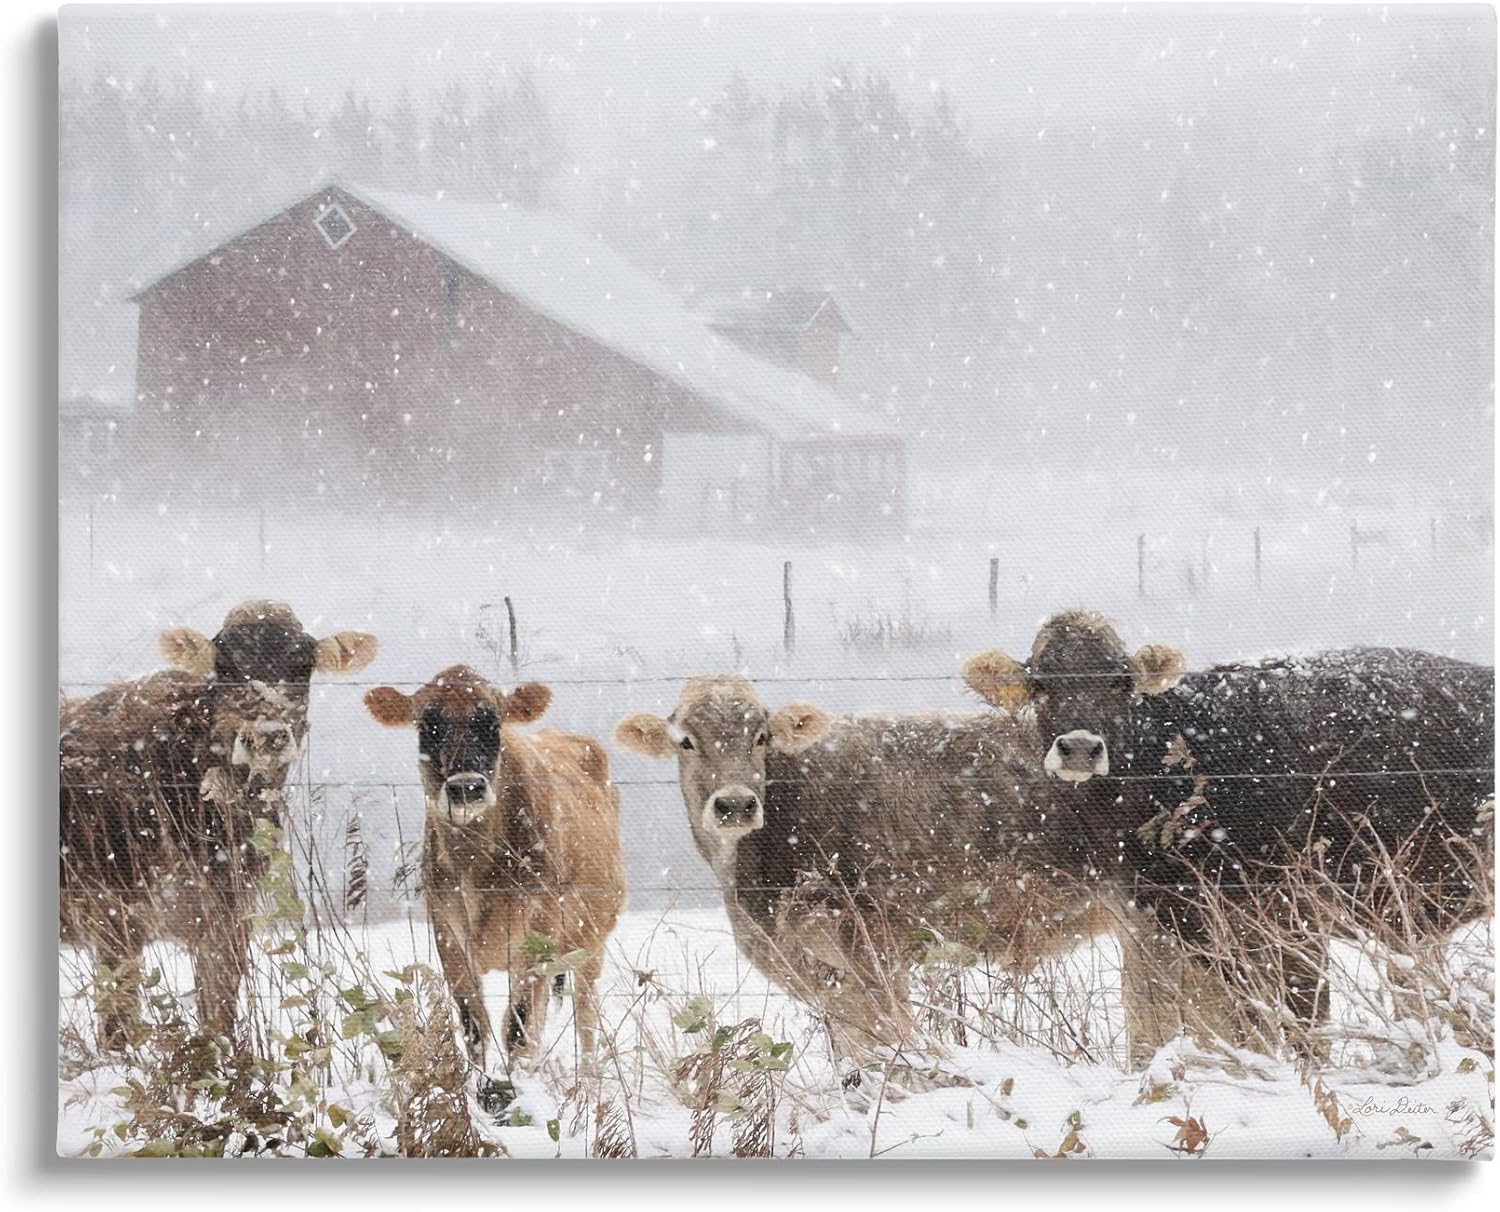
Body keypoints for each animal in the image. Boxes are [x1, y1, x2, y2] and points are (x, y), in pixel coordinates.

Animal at [59, 601, 380, 1047]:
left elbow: (219, 1018)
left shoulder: (229, 917)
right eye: (225, 665)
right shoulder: (112, 913)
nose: (266, 734)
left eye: (303, 664)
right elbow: (117, 1030)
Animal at [364, 666, 626, 1104]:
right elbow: (474, 1022)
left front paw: (515, 1090)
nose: (466, 787)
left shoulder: (537, 933)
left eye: (492, 721)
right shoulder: (447, 933)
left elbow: (518, 1027)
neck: (475, 866)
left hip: (591, 942)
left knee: (585, 1014)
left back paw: (589, 1081)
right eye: (428, 724)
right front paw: (478, 1087)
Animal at [614, 676, 1113, 1073]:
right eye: (686, 741)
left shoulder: (875, 945)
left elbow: (888, 1039)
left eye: (761, 737)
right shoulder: (813, 968)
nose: (735, 804)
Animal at [961, 609, 1495, 1067]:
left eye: (1120, 681)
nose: (1078, 748)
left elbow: (1302, 1021)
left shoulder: (1294, 917)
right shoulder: (1177, 925)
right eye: (1040, 683)